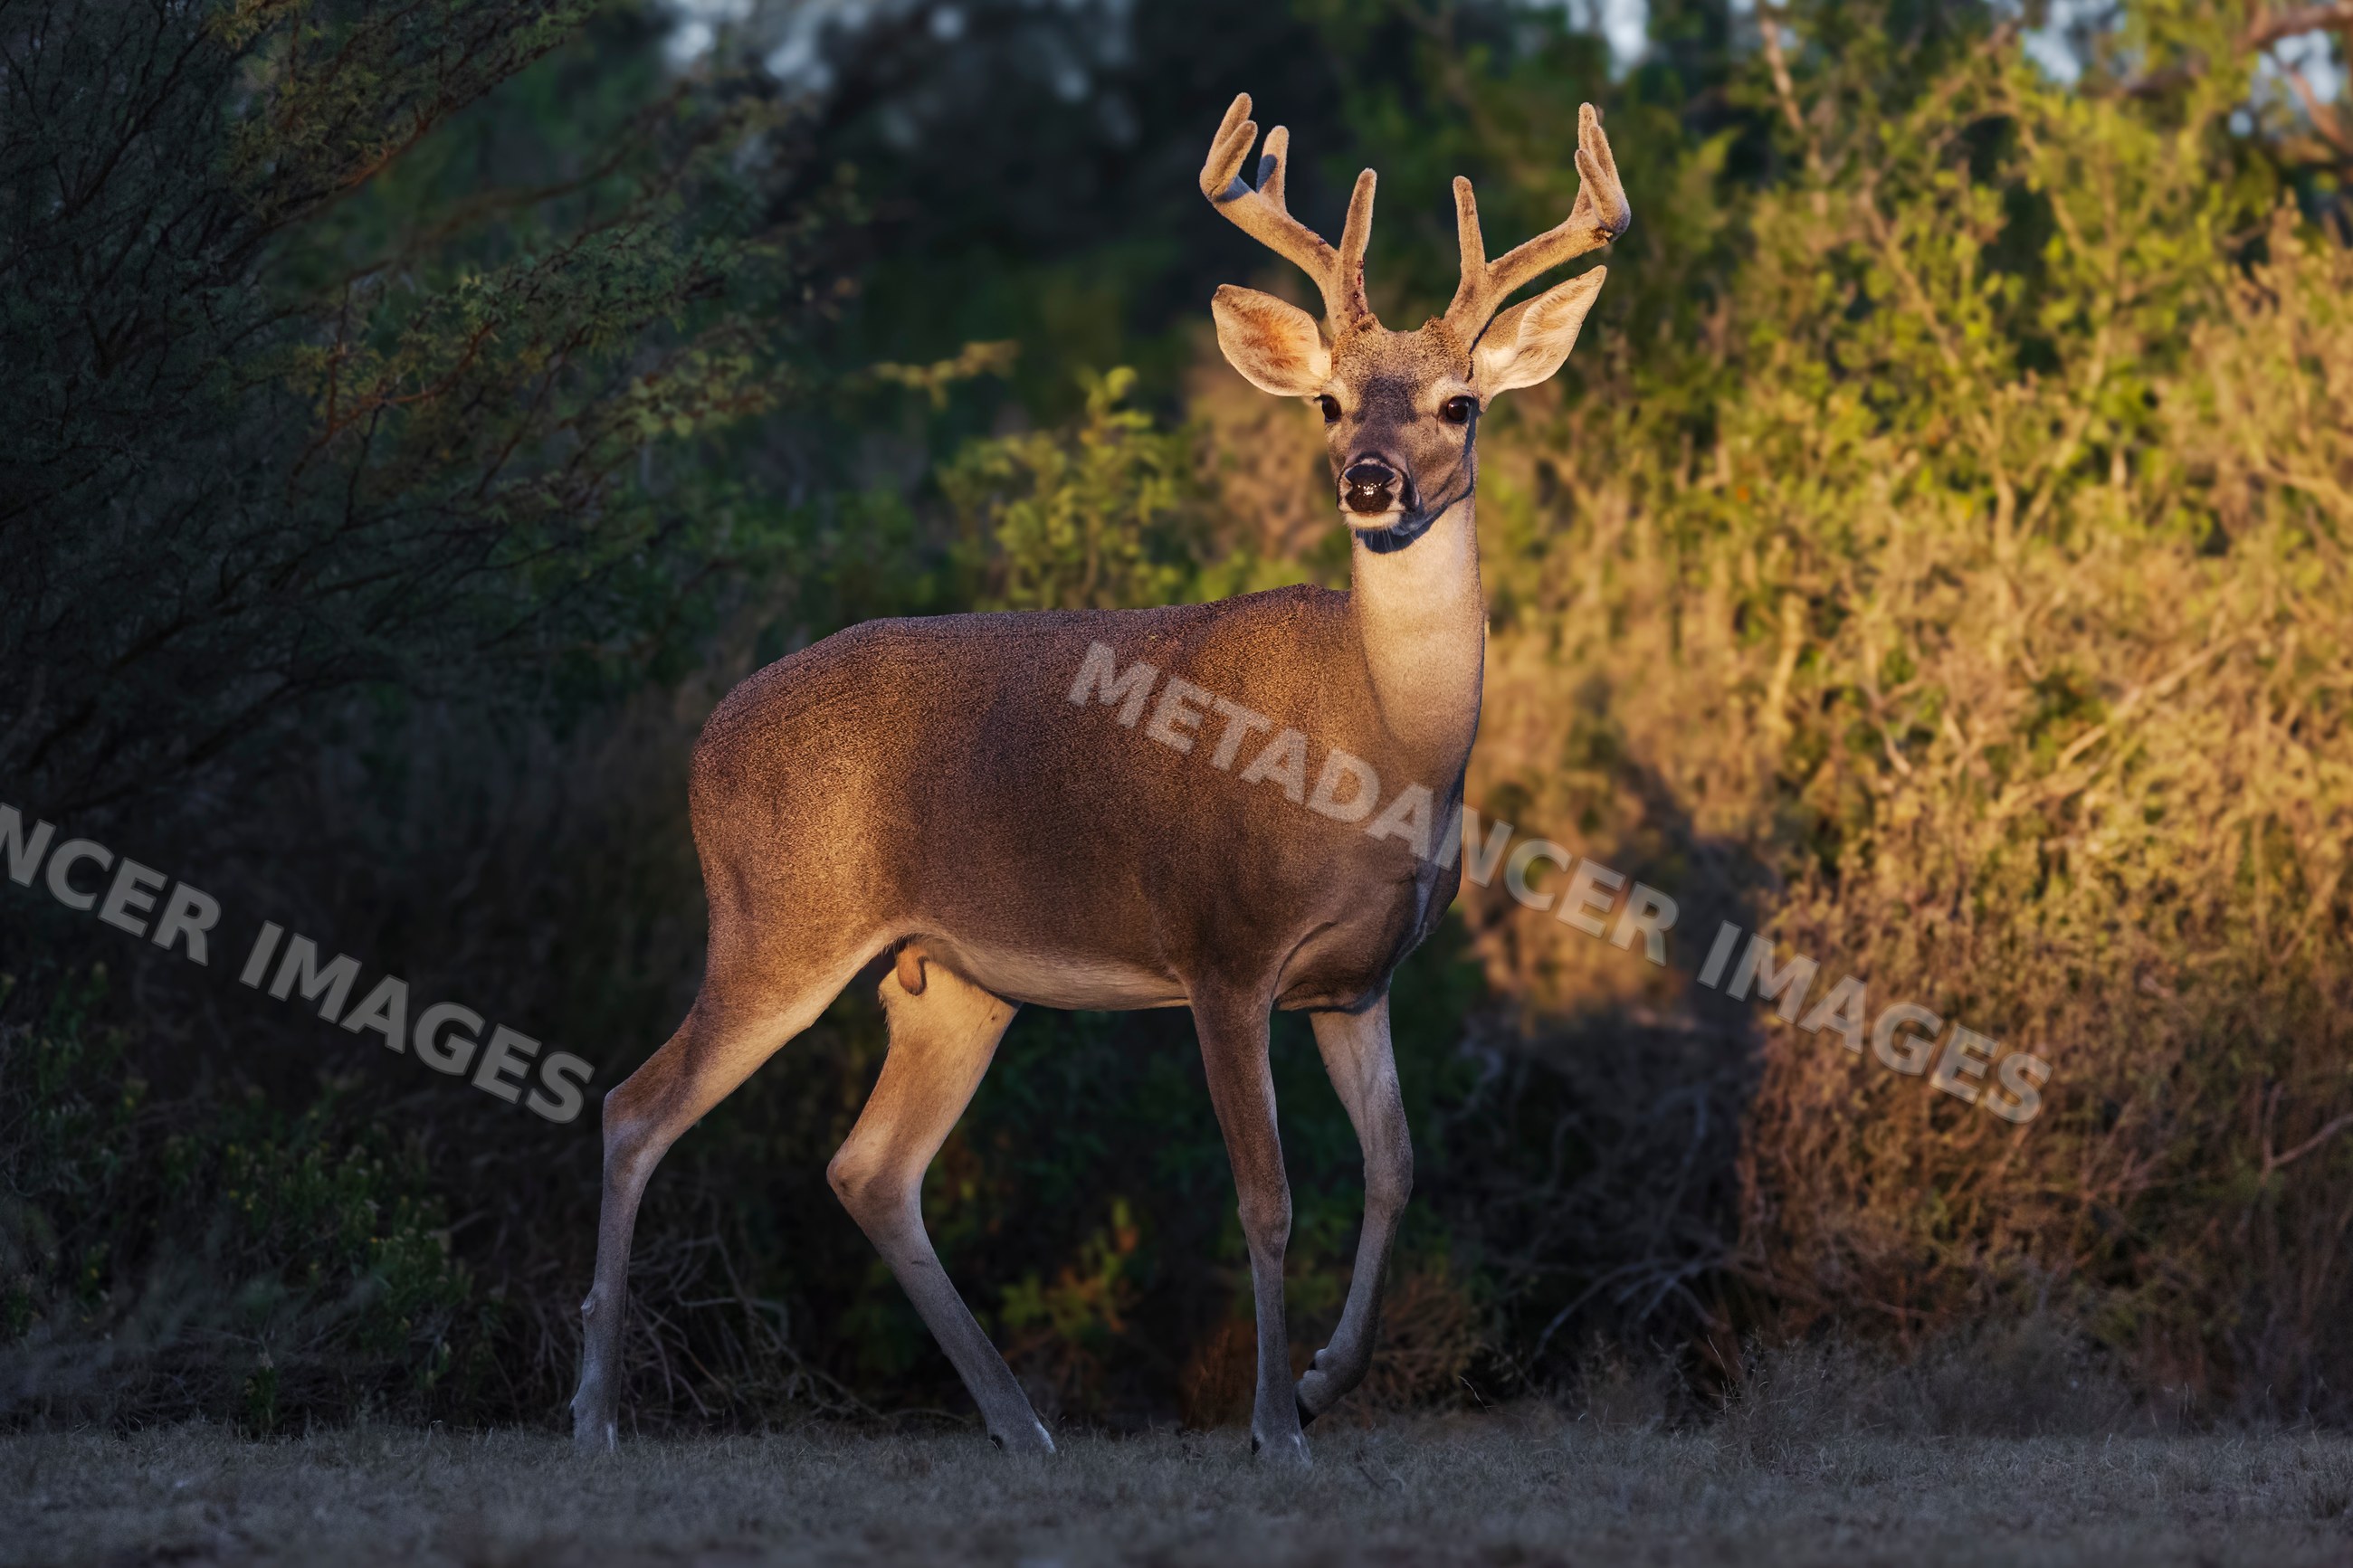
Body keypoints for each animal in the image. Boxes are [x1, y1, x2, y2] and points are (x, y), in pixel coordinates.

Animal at [570, 92, 1629, 1467]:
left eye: (1459, 405)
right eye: (1330, 402)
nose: (1371, 482)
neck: (1380, 753)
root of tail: (706, 739)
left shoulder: (1359, 979)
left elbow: (1397, 1171)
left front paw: (1321, 1383)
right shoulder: (1221, 948)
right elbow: (1266, 1194)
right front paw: (1274, 1426)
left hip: (952, 978)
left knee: (869, 1166)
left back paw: (1022, 1424)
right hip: (779, 920)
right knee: (634, 1106)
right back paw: (594, 1413)